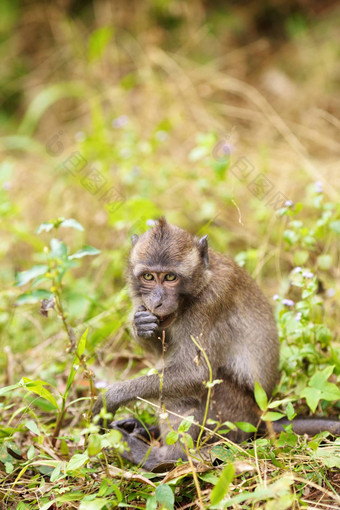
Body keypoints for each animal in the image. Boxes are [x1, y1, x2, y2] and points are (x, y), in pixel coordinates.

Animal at [91, 218, 338, 470]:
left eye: (170, 277)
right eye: (148, 277)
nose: (157, 302)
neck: (200, 283)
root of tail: (259, 416)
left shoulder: (209, 304)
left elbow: (196, 375)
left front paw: (110, 398)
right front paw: (141, 324)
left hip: (232, 415)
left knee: (200, 390)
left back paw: (160, 457)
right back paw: (143, 430)